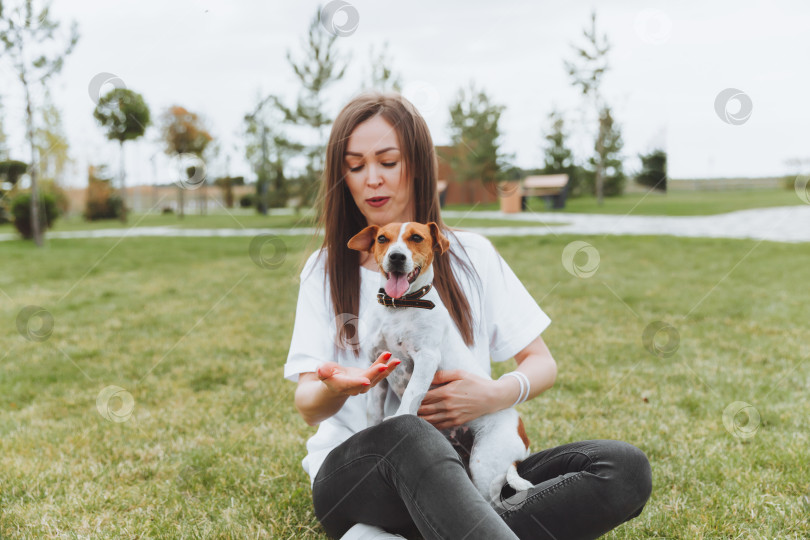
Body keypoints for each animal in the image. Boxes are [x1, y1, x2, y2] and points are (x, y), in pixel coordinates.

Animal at [346, 220, 532, 506]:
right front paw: (373, 428)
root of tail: (522, 443)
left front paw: (400, 417)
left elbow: (412, 392)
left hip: (484, 464)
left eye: (416, 237)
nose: (396, 257)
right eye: (382, 239)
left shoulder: (426, 358)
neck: (399, 307)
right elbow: (373, 409)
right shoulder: (378, 363)